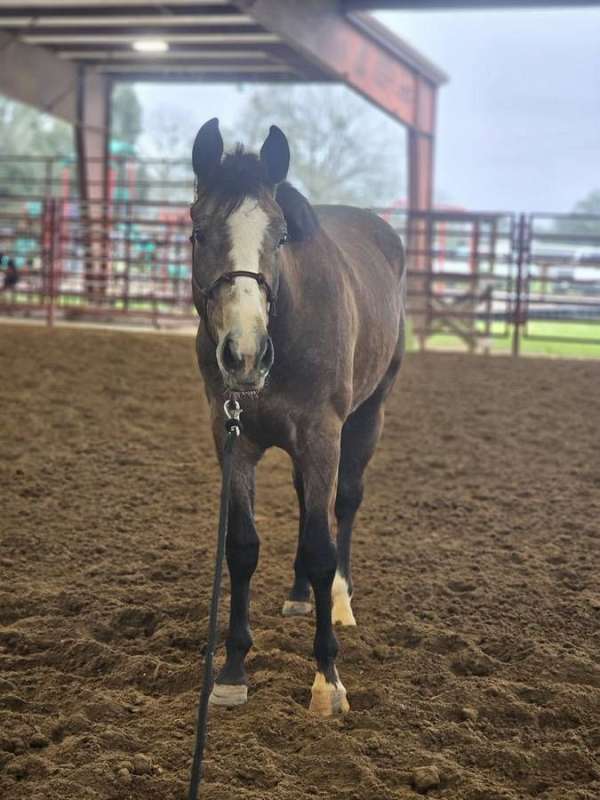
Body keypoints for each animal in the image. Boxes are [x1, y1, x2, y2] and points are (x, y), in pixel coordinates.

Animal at [191, 115, 408, 716]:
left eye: (281, 236)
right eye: (198, 233)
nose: (243, 354)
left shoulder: (321, 436)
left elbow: (320, 546)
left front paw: (327, 677)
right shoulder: (232, 437)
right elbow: (242, 547)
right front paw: (232, 671)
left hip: (368, 416)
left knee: (344, 503)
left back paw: (339, 598)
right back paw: (297, 596)